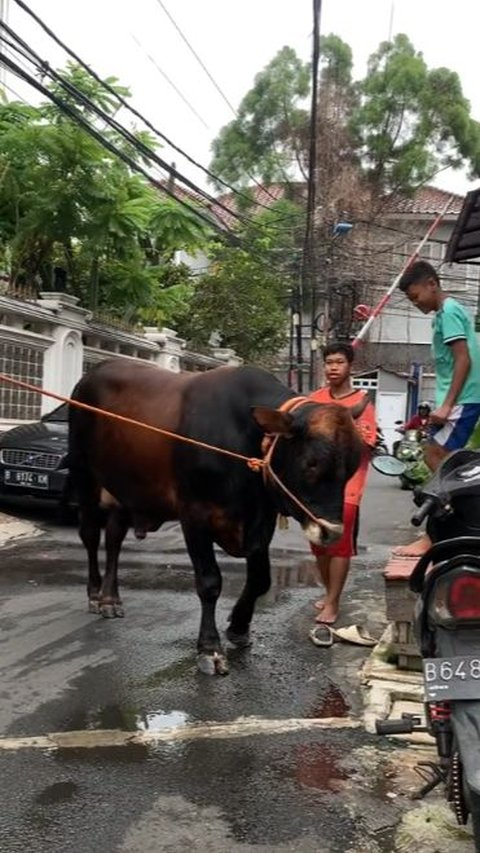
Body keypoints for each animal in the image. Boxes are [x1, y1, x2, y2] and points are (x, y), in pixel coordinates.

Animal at [67, 358, 366, 672]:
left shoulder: (261, 522)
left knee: (114, 539)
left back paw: (110, 598)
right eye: (311, 463)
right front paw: (210, 648)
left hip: (124, 490)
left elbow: (261, 579)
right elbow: (210, 582)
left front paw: (239, 627)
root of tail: (93, 373)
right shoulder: (195, 516)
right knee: (90, 535)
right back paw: (95, 594)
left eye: (353, 464)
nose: (332, 531)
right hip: (84, 476)